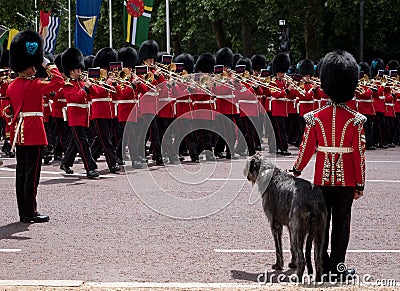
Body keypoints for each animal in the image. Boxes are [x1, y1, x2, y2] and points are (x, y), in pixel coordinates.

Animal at [245, 154, 326, 282]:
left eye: (248, 164)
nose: (245, 174)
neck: (270, 175)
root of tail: (313, 200)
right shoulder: (289, 225)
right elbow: (292, 246)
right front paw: (293, 263)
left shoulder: (275, 223)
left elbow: (278, 247)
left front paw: (278, 265)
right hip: (319, 230)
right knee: (318, 257)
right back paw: (318, 278)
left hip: (299, 229)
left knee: (302, 258)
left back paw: (297, 278)